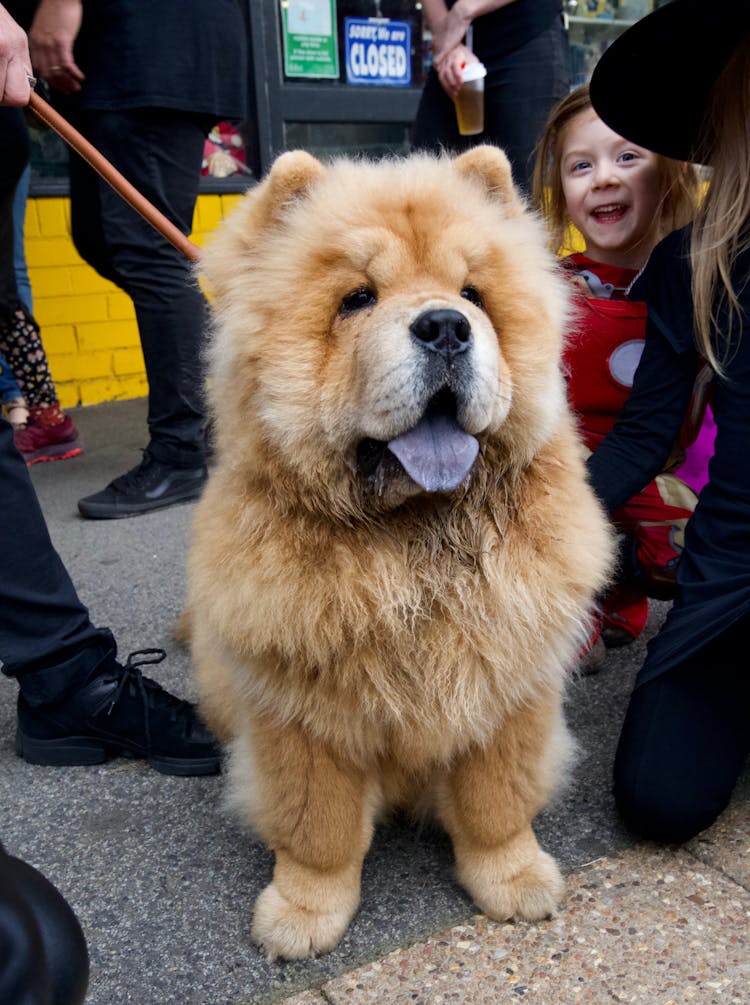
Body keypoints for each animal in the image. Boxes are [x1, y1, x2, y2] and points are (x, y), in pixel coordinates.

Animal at [185, 145, 607, 960]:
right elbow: (317, 828)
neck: (412, 544)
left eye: (474, 294)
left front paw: (514, 879)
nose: (445, 325)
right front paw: (303, 912)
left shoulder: (506, 687)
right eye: (357, 298)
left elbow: (495, 804)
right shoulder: (300, 713)